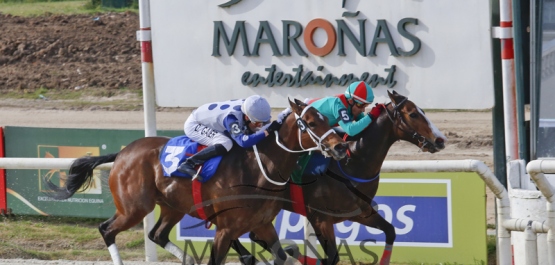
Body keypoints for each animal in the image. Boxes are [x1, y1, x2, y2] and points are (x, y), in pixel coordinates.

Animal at [44, 98, 348, 262]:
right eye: (311, 123)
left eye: (327, 118)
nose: (340, 147)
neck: (259, 170)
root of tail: (122, 153)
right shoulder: (226, 229)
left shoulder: (261, 224)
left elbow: (280, 255)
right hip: (134, 208)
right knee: (107, 230)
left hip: (172, 206)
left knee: (156, 234)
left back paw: (189, 259)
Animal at [245, 89, 450, 262]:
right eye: (413, 114)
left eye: (422, 111)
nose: (441, 140)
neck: (352, 163)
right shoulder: (321, 219)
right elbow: (332, 258)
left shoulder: (361, 212)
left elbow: (391, 231)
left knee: (256, 236)